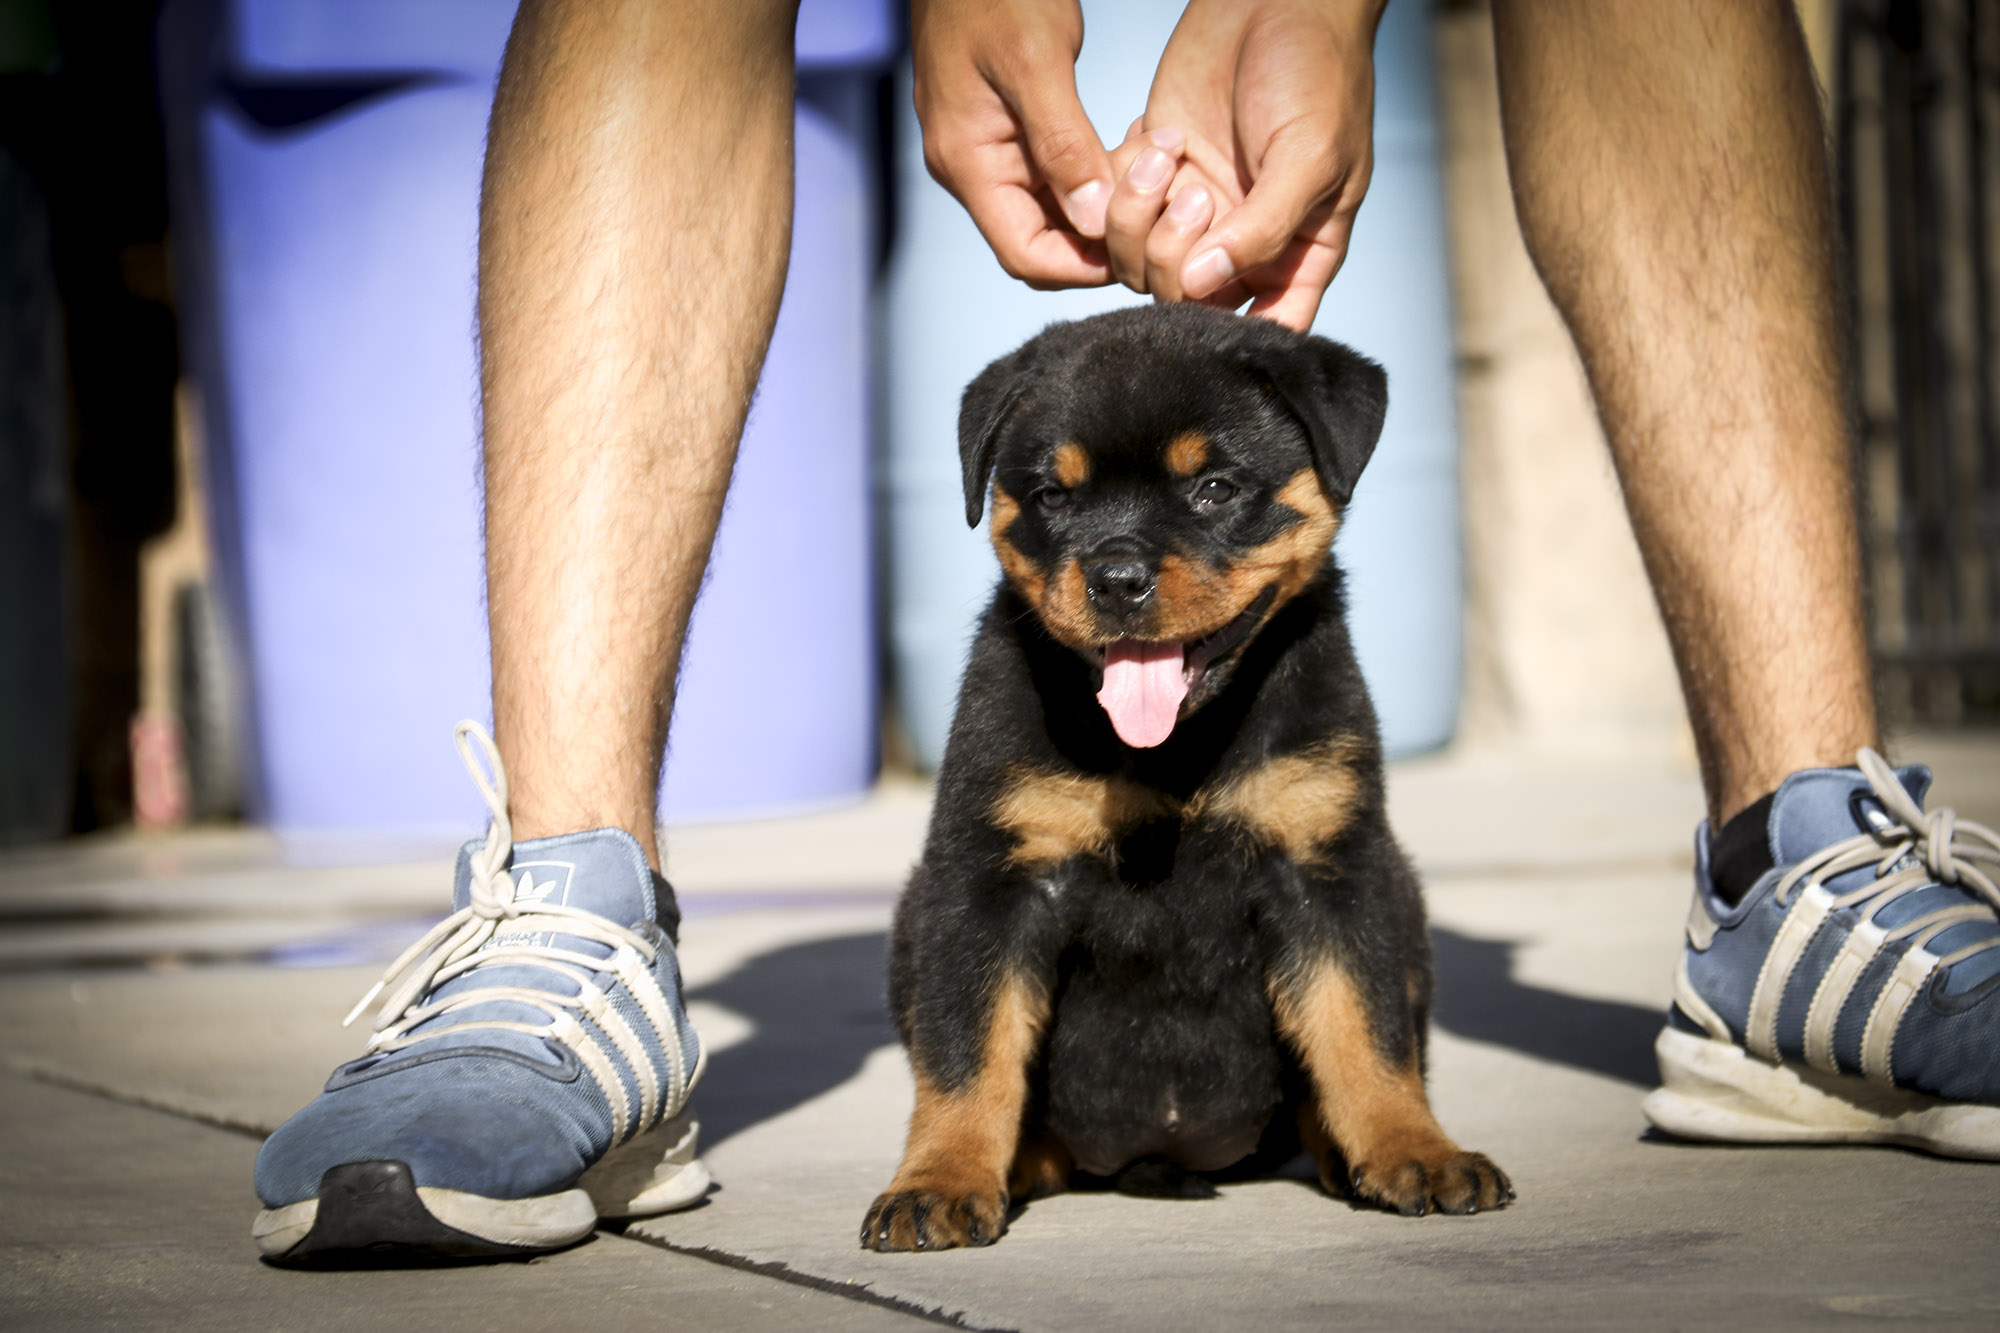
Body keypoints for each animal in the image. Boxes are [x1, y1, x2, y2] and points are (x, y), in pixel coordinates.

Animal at [864, 300, 1512, 1248]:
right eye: (1054, 496)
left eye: (1215, 489)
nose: (1115, 577)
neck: (1175, 749)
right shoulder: (987, 881)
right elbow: (964, 1048)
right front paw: (939, 1178)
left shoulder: (1329, 868)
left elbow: (1367, 1028)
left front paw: (1413, 1147)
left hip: (1403, 893)